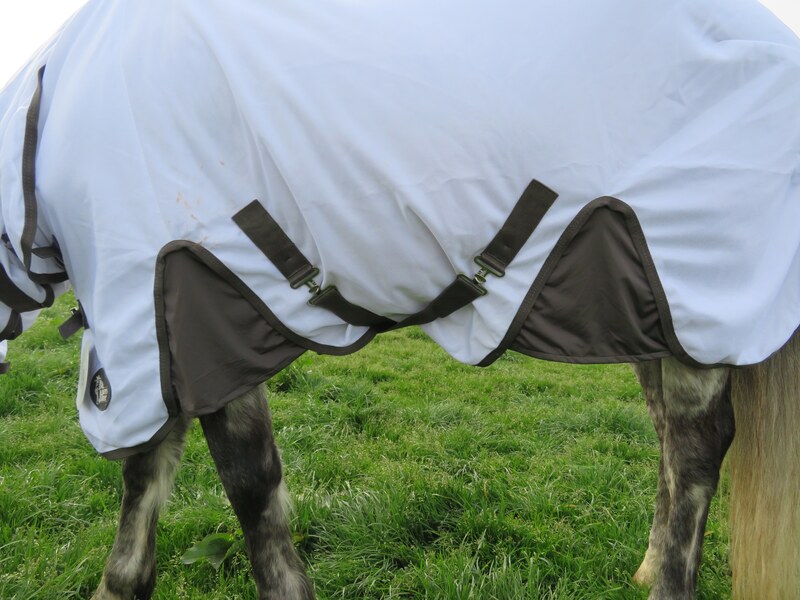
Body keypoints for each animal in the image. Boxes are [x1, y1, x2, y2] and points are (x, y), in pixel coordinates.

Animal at [1, 1, 799, 599]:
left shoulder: (178, 307)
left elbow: (248, 492)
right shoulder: (172, 334)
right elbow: (152, 484)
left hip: (704, 297)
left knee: (696, 449)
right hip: (658, 315)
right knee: (666, 436)